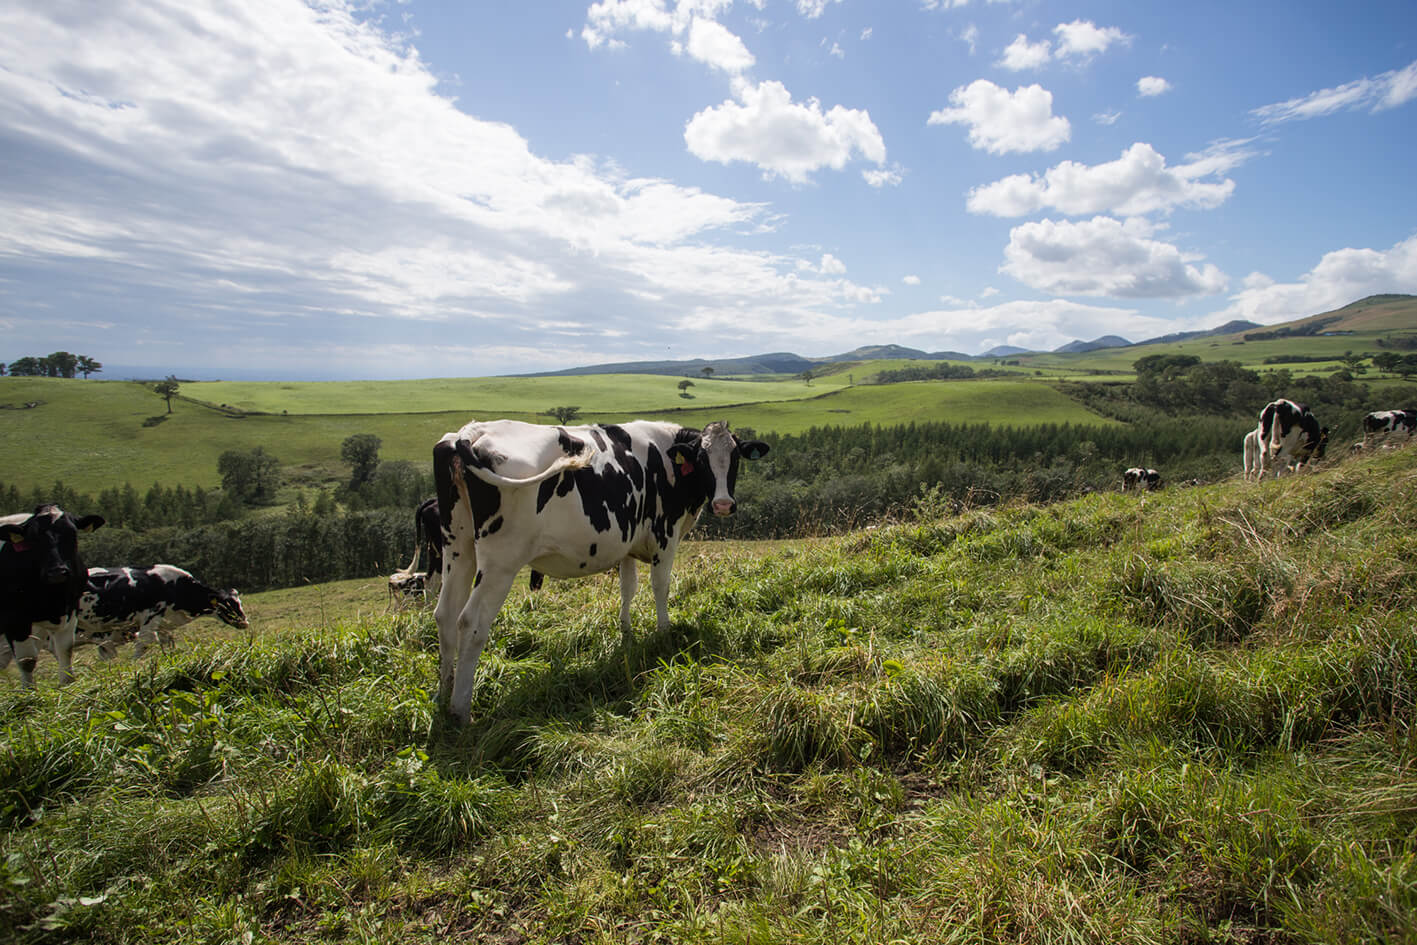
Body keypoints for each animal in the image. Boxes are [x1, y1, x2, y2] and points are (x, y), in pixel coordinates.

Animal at [0, 501, 104, 688]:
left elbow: (65, 649)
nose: (57, 572)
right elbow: (27, 660)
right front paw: (28, 691)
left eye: (72, 534)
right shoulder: (14, 619)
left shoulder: (70, 609)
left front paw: (67, 683)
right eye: (33, 538)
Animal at [74, 566, 249, 663]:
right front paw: (134, 667)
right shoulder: (151, 617)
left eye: (239, 602)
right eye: (229, 604)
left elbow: (168, 642)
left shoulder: (164, 624)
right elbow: (145, 643)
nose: (245, 622)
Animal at [430, 422, 770, 725]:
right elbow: (660, 586)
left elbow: (628, 588)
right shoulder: (665, 535)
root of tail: (473, 432)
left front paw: (627, 635)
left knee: (445, 614)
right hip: (502, 559)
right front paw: (664, 634)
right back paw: (461, 710)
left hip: (457, 545)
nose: (723, 504)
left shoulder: (627, 543)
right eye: (701, 459)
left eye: (735, 457)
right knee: (471, 623)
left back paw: (443, 696)